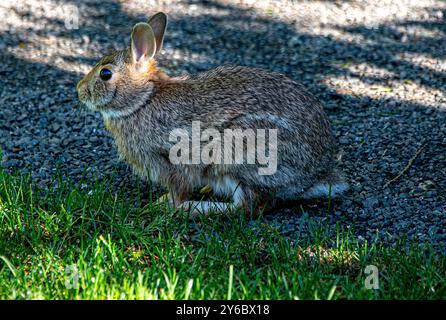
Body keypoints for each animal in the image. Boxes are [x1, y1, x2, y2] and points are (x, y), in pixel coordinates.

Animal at [76, 12, 348, 216]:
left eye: (106, 74)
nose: (79, 91)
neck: (143, 100)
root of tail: (314, 176)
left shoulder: (172, 161)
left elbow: (179, 188)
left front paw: (166, 204)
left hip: (242, 153)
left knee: (249, 206)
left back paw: (196, 208)